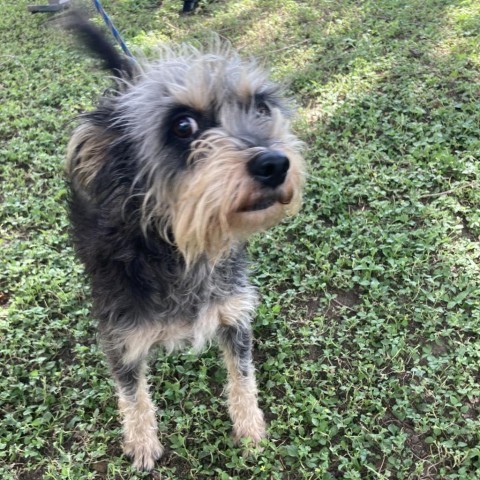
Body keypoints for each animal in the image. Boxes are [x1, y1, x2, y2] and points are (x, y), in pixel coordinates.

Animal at [65, 15, 306, 472]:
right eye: (183, 126)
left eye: (260, 107)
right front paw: (142, 442)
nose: (274, 163)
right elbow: (133, 395)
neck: (182, 245)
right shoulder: (121, 338)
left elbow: (242, 375)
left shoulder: (233, 313)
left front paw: (250, 427)